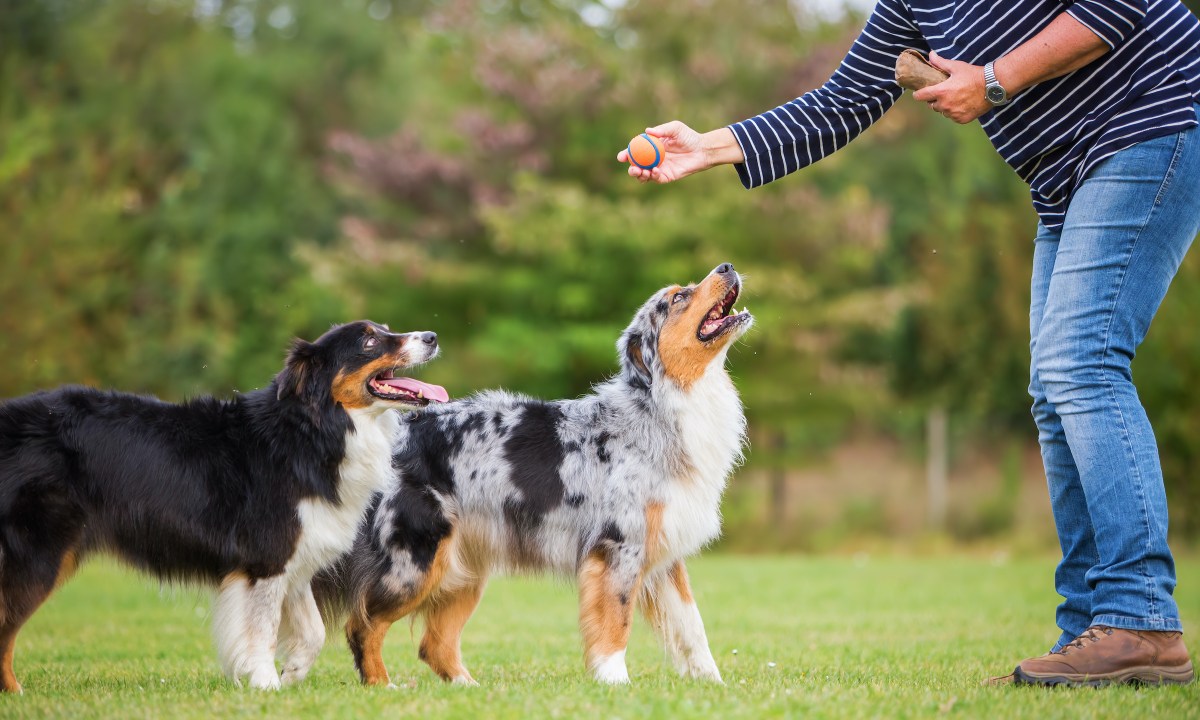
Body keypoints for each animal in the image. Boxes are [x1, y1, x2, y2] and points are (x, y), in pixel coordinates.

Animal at [0, 321, 451, 691]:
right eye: (370, 341)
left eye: (386, 329)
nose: (432, 336)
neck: (313, 429)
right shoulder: (266, 559)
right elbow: (262, 629)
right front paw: (266, 683)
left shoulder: (296, 556)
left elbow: (313, 632)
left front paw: (292, 673)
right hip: (37, 555)